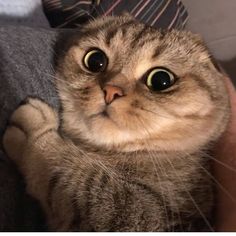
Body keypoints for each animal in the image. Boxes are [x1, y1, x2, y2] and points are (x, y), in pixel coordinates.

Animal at [2, 15, 230, 232]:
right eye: (95, 60)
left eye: (161, 80)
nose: (111, 91)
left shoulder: (143, 213)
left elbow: (78, 179)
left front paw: (33, 133)